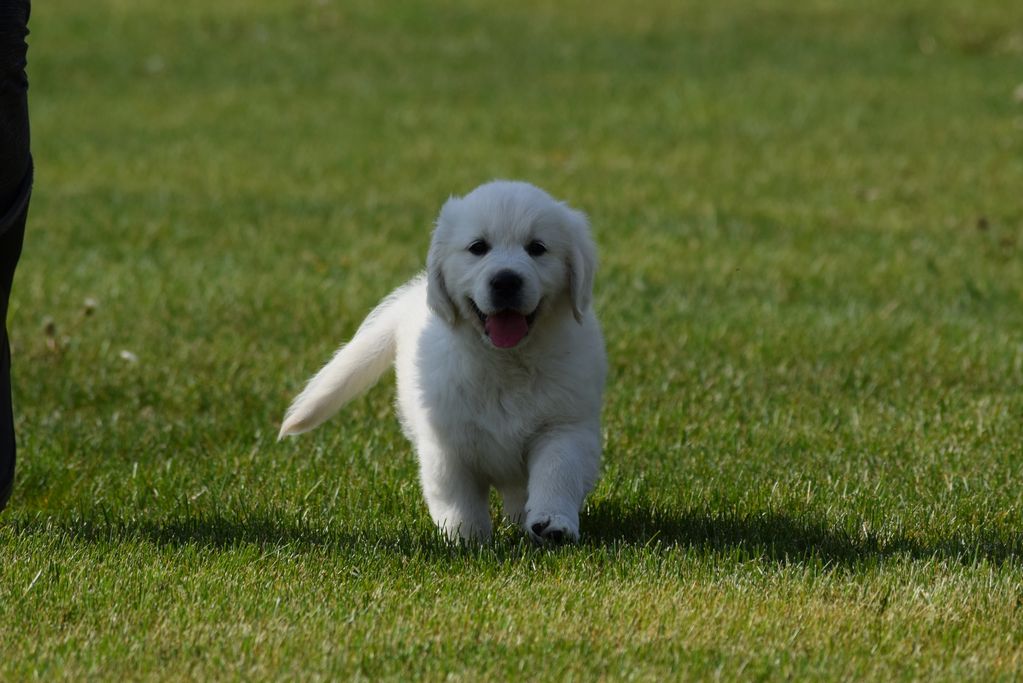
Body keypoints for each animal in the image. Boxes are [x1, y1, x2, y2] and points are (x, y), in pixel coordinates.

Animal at [278, 180, 605, 543]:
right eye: (478, 247)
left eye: (537, 248)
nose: (506, 281)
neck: (505, 361)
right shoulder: (446, 442)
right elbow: (458, 498)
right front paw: (467, 539)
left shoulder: (564, 425)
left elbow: (557, 473)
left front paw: (552, 523)